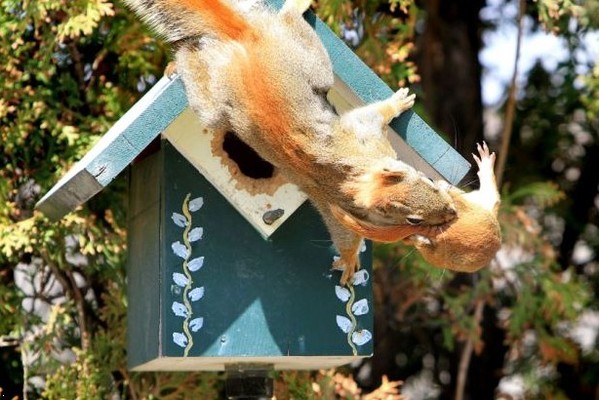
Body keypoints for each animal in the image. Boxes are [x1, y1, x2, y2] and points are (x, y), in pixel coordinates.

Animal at [123, 0, 460, 284]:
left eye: (428, 181)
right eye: (413, 219)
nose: (453, 213)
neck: (365, 180)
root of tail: (247, 44)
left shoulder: (363, 138)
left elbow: (371, 116)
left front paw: (396, 104)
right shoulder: (339, 199)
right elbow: (343, 233)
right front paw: (349, 259)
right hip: (302, 68)